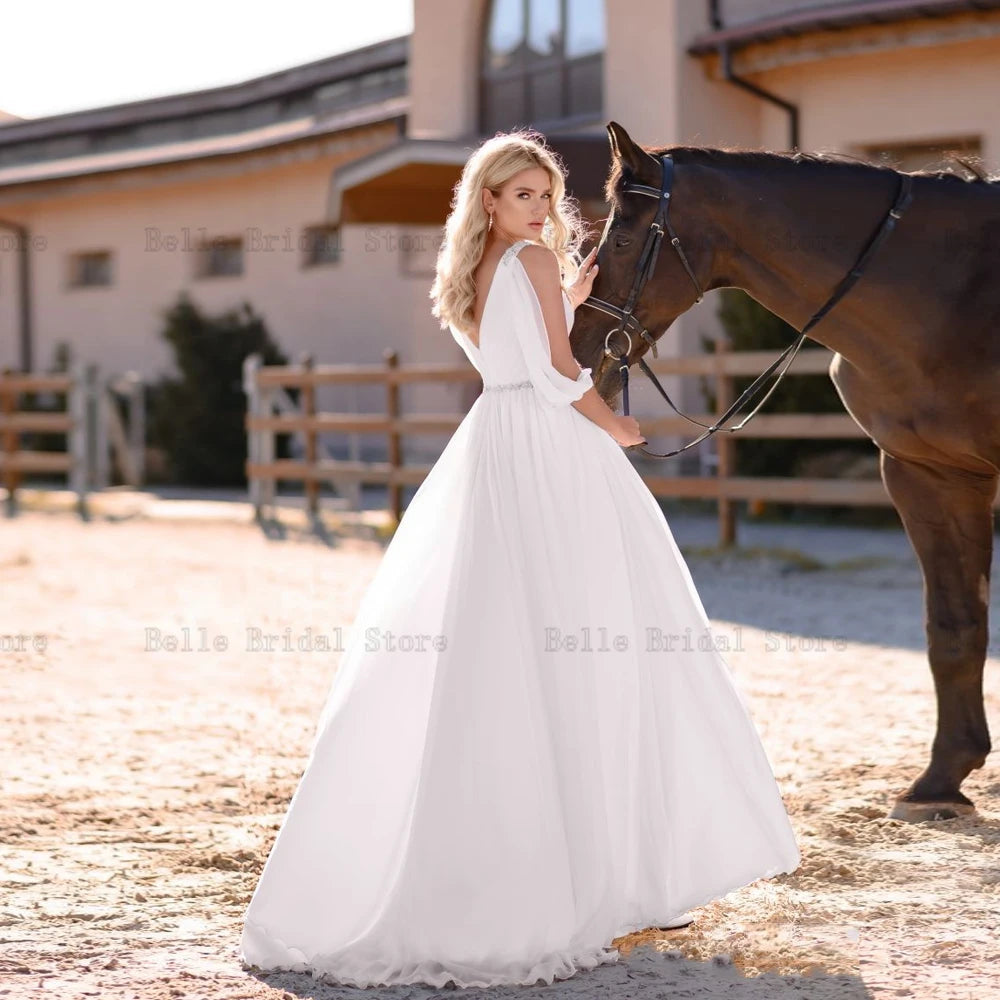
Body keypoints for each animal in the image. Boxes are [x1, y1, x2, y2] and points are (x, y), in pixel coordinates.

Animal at [572, 119, 1000, 820]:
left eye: (623, 235)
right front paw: (941, 781)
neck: (952, 291)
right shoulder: (928, 475)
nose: (580, 349)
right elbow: (954, 626)